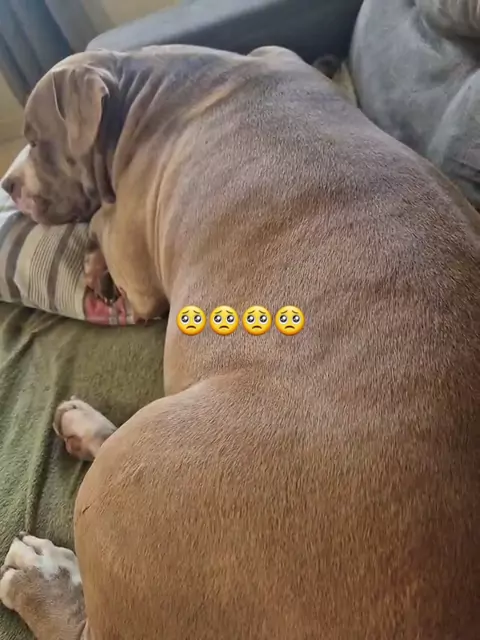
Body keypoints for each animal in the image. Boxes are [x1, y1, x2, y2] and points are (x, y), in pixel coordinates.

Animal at [1, 44, 480, 639]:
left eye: (37, 138)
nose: (7, 183)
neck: (147, 86)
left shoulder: (137, 270)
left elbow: (103, 224)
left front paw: (92, 263)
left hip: (144, 462)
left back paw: (40, 573)